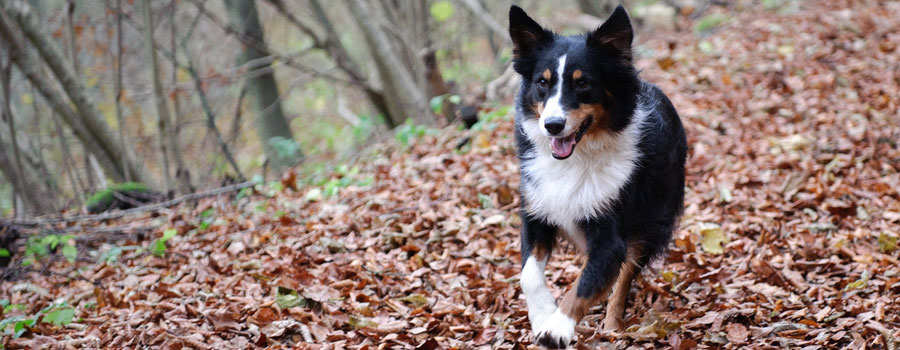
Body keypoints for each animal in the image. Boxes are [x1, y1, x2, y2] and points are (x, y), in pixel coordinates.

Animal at [510, 4, 684, 348]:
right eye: (542, 83)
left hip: (649, 222)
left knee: (624, 276)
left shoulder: (610, 236)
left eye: (583, 84)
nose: (552, 125)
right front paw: (542, 314)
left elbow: (586, 283)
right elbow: (529, 275)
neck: (578, 158)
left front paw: (558, 327)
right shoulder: (537, 214)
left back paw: (613, 325)